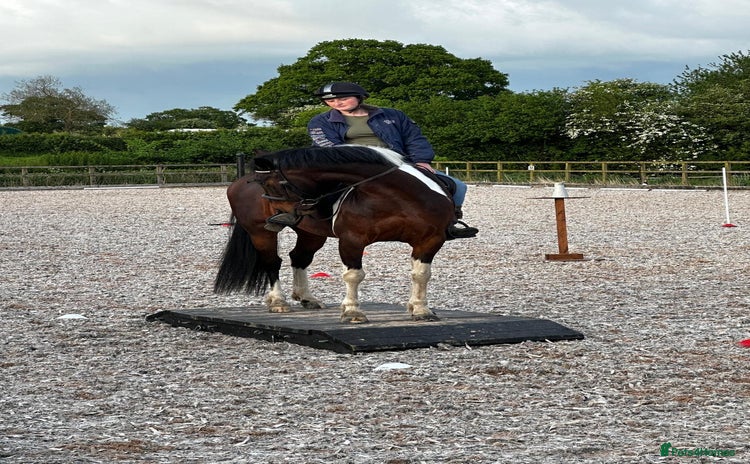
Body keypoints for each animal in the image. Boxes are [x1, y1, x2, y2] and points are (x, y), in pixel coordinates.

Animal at [213, 145, 456, 323]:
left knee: (299, 258)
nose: (279, 216)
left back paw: (307, 298)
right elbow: (354, 275)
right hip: (260, 233)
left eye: (273, 185)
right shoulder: (352, 240)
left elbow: (421, 275)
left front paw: (421, 309)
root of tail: (238, 182)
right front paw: (352, 312)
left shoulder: (430, 241)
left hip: (310, 235)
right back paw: (278, 302)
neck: (397, 198)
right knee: (272, 263)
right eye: (266, 186)